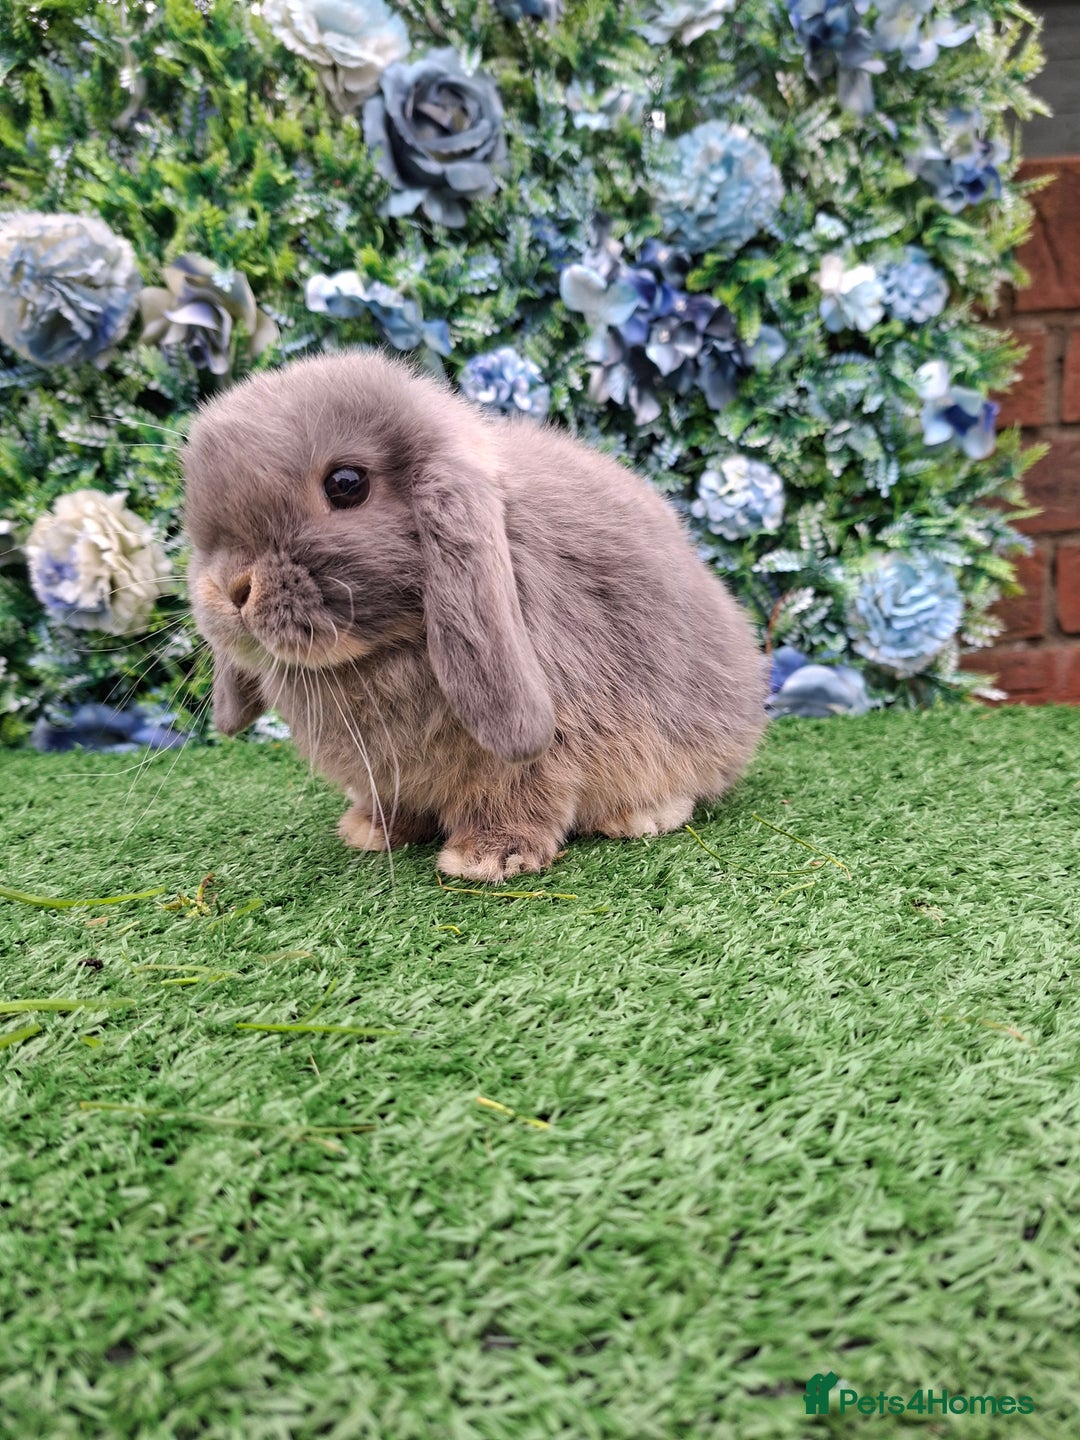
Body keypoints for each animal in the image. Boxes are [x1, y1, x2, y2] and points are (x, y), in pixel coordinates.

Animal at [182, 349, 767, 883]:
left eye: (346, 484)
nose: (231, 589)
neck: (383, 651)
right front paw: (371, 829)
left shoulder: (544, 742)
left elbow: (520, 790)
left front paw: (487, 857)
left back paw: (642, 814)